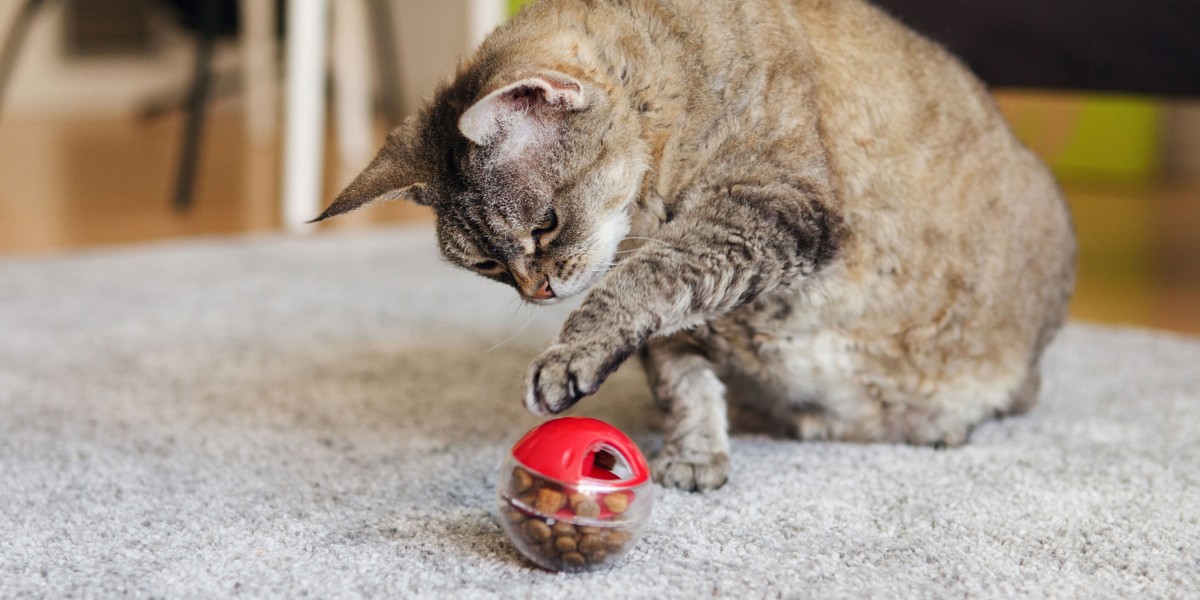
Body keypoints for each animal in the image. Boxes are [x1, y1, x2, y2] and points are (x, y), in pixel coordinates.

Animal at [312, 0, 1080, 489]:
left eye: (544, 225)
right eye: (486, 264)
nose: (537, 290)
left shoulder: (771, 207)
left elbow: (642, 284)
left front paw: (568, 356)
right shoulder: (686, 312)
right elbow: (679, 375)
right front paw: (696, 454)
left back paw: (937, 423)